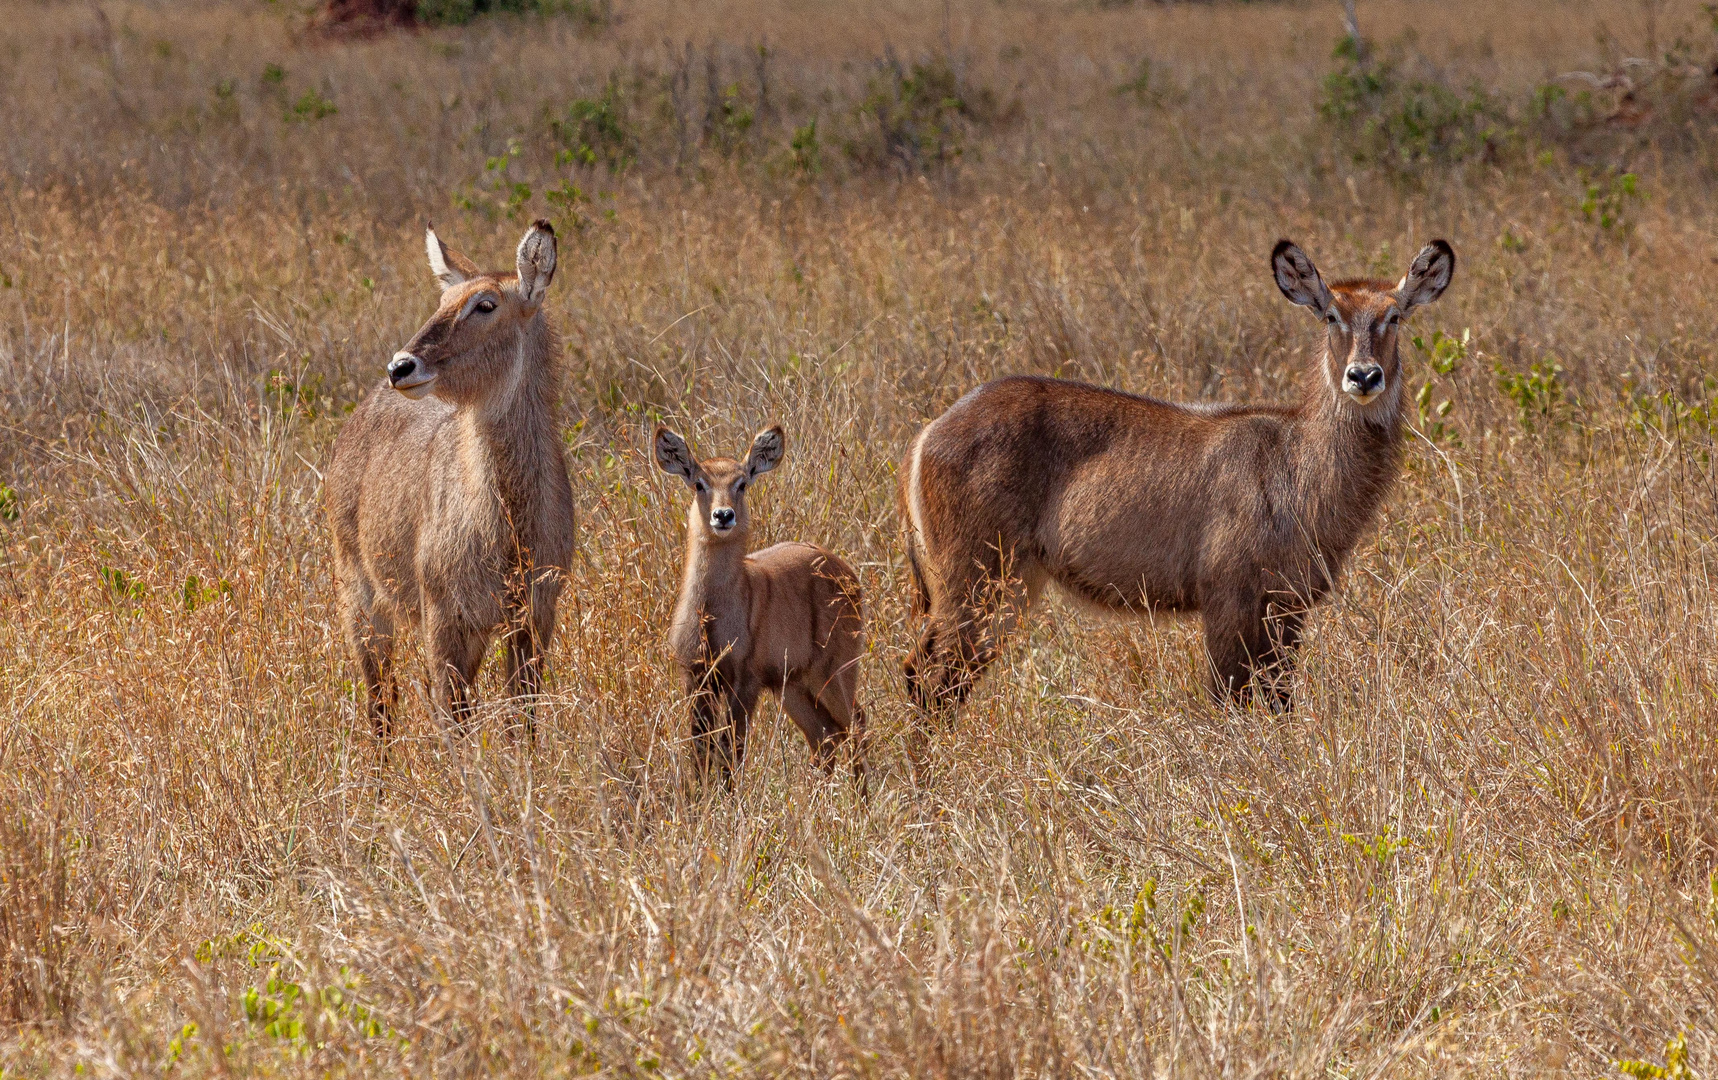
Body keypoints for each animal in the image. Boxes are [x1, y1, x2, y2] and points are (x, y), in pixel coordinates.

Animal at [328, 218, 577, 741]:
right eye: (443, 301)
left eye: (486, 304)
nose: (401, 366)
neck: (509, 529)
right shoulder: (443, 619)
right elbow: (452, 722)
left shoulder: (534, 617)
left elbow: (522, 718)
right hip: (359, 597)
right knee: (381, 704)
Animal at [656, 425, 872, 786]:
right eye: (699, 482)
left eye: (741, 483)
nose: (723, 515)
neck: (710, 615)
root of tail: (849, 574)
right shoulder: (694, 676)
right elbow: (699, 753)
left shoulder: (746, 679)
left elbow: (730, 752)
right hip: (793, 683)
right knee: (825, 735)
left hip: (837, 668)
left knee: (857, 724)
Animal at [900, 235, 1449, 710]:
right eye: (1332, 315)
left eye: (1395, 315)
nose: (1364, 376)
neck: (1297, 463)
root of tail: (926, 435)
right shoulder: (1228, 597)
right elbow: (1228, 697)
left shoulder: (1290, 605)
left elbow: (1279, 700)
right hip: (976, 582)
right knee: (930, 678)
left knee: (928, 674)